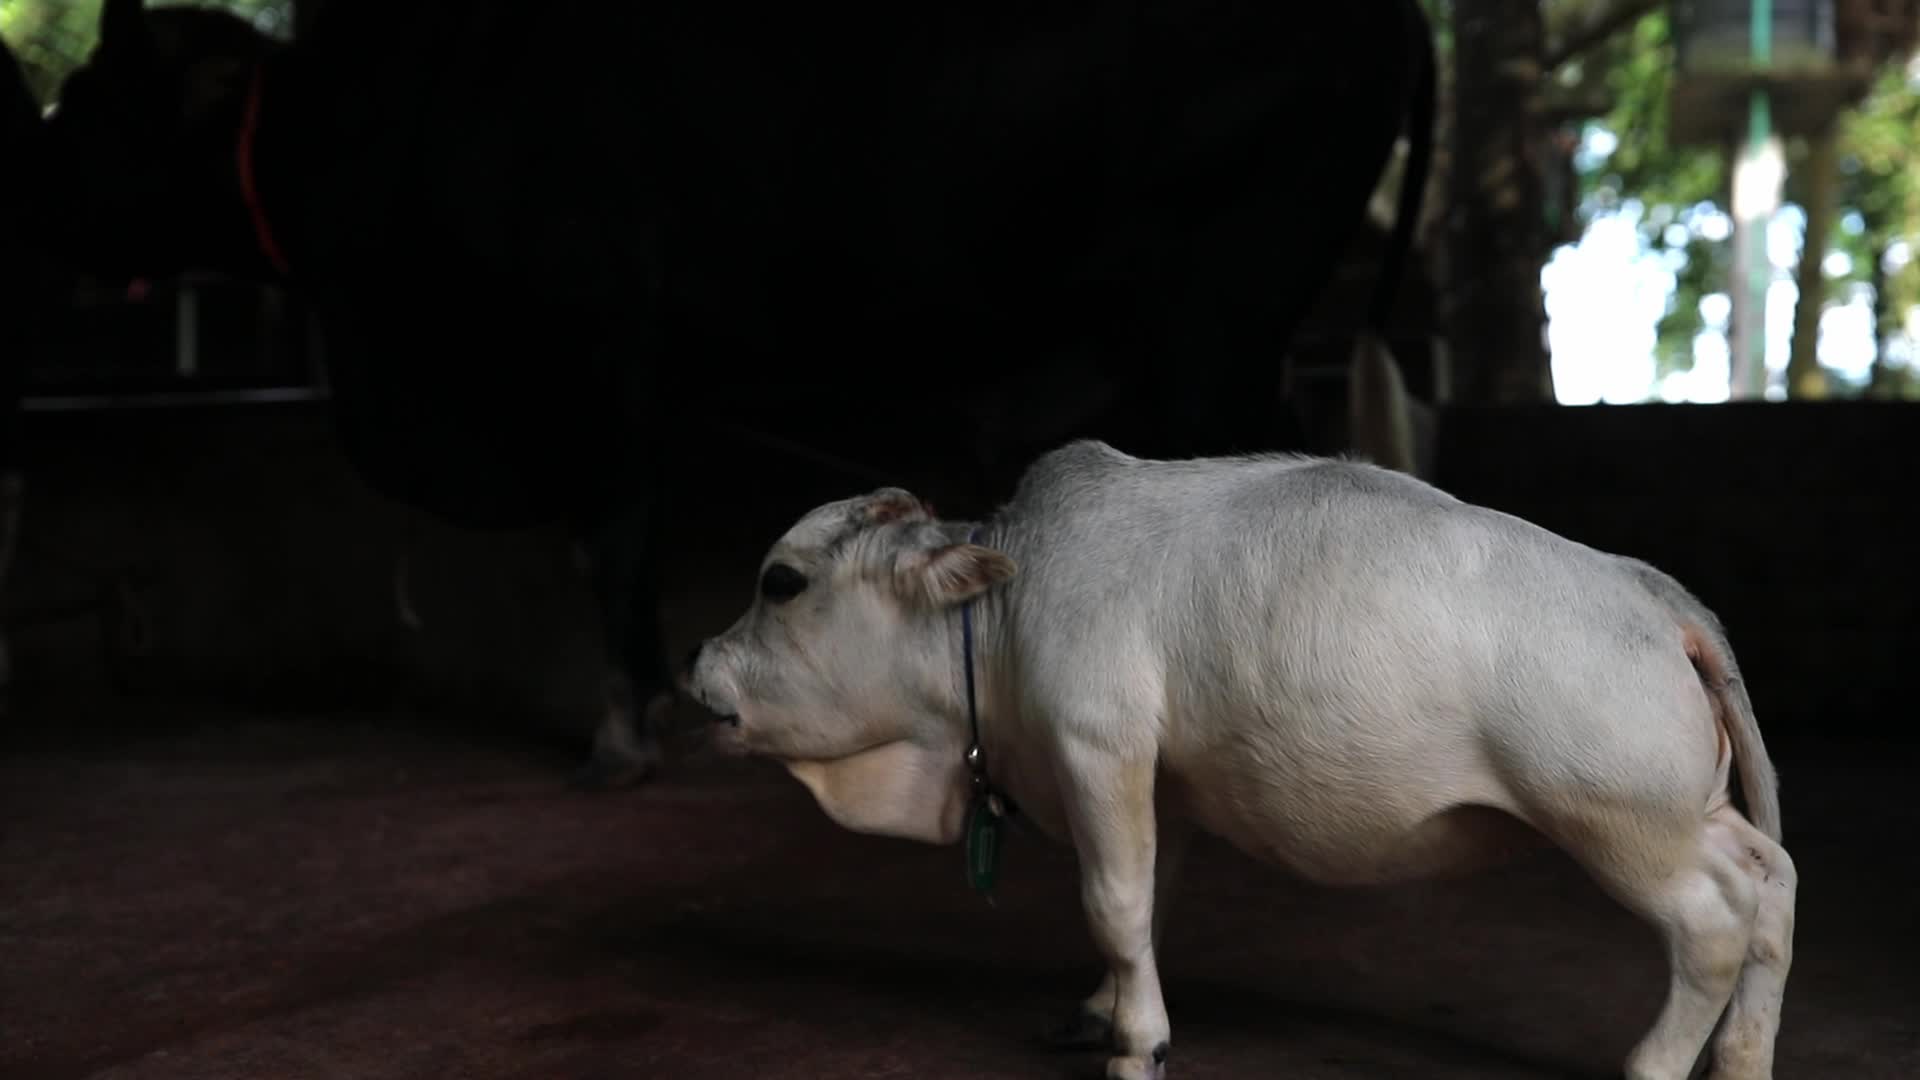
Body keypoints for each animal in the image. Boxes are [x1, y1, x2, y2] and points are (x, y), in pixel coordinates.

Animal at [38, 0, 1436, 785]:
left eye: (88, 104)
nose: (25, 175)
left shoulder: (601, 344)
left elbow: (610, 544)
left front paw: (623, 732)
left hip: (1216, 312)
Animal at [681, 439, 1797, 1080]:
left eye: (781, 582)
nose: (695, 667)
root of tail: (1655, 592)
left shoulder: (1098, 744)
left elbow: (1113, 901)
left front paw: (1138, 1043)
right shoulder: (1152, 777)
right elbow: (1148, 897)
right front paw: (1103, 1009)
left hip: (1621, 824)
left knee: (1713, 924)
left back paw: (1654, 1063)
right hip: (1687, 816)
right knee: (1771, 882)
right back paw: (1742, 1058)